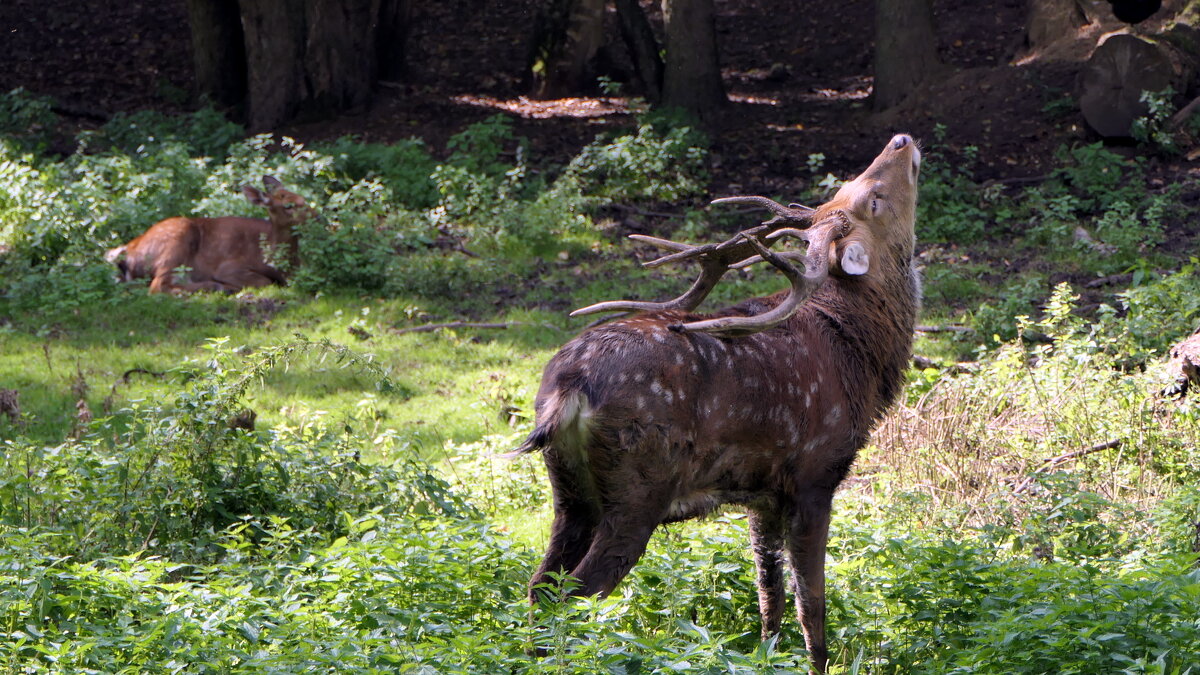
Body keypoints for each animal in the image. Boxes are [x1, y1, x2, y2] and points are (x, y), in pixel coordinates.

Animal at [106, 172, 314, 291]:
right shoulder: (229, 267)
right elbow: (266, 282)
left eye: (303, 198)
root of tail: (127, 254)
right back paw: (217, 287)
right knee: (158, 287)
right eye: (288, 205)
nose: (317, 216)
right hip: (176, 243)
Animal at [513, 132, 916, 667]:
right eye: (873, 198)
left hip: (570, 490)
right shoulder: (816, 473)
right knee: (571, 593)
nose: (902, 140)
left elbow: (769, 593)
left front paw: (766, 657)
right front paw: (818, 664)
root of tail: (567, 389)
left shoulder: (763, 493)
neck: (861, 353)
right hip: (636, 487)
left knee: (539, 585)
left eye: (853, 186)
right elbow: (812, 602)